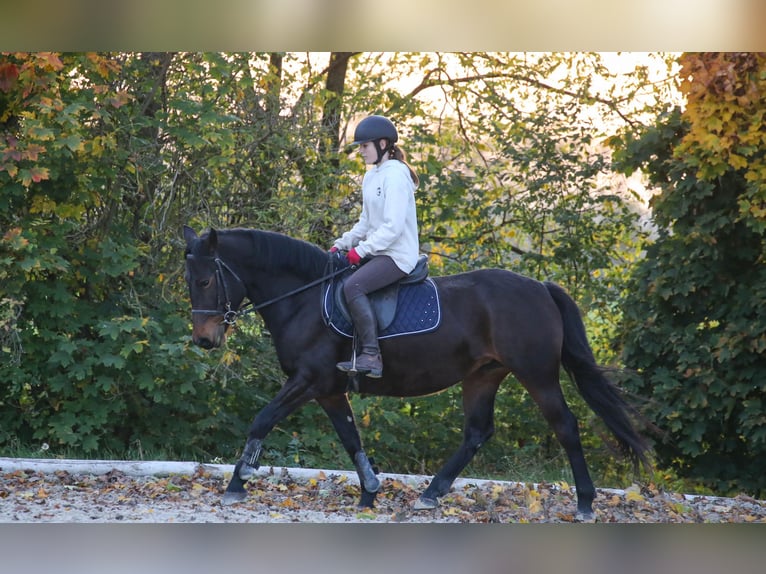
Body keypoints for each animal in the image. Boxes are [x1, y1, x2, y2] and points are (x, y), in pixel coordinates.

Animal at [183, 227, 652, 520]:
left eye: (205, 281)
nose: (205, 341)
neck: (304, 299)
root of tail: (541, 287)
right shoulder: (329, 389)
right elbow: (350, 437)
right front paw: (370, 492)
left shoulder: (309, 381)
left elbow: (262, 419)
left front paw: (237, 483)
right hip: (483, 376)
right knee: (477, 433)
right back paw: (430, 494)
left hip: (536, 376)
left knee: (566, 426)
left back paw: (586, 503)